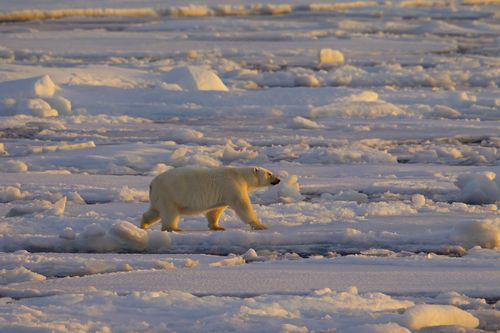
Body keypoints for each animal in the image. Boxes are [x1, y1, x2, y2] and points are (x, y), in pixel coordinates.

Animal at [141, 166, 280, 231]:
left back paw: (144, 224)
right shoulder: (233, 186)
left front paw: (217, 227)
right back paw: (173, 228)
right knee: (170, 212)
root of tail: (152, 184)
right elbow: (243, 205)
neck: (241, 175)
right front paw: (261, 225)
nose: (278, 180)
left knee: (154, 211)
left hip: (159, 196)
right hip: (170, 194)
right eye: (269, 173)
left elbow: (215, 210)